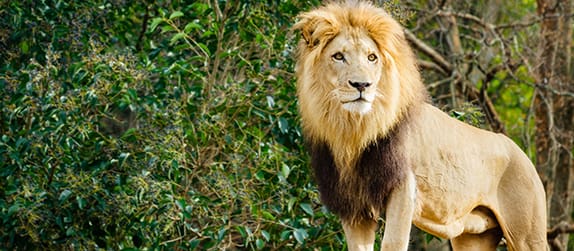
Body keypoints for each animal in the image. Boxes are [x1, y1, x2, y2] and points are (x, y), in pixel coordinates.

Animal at [294, 0, 552, 250]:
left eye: (371, 57)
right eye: (338, 56)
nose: (362, 85)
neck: (353, 131)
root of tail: (521, 153)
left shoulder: (404, 188)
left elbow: (393, 242)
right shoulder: (353, 205)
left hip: (528, 235)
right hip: (474, 236)